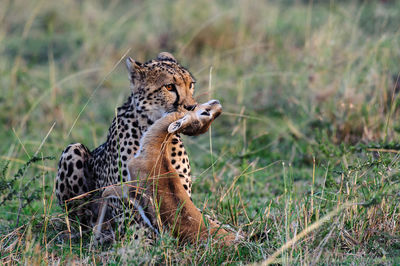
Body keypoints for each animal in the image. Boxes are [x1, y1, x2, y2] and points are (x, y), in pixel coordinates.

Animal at [93, 100, 238, 245]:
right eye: (205, 113)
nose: (218, 104)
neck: (156, 149)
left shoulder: (131, 188)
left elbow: (105, 193)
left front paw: (96, 235)